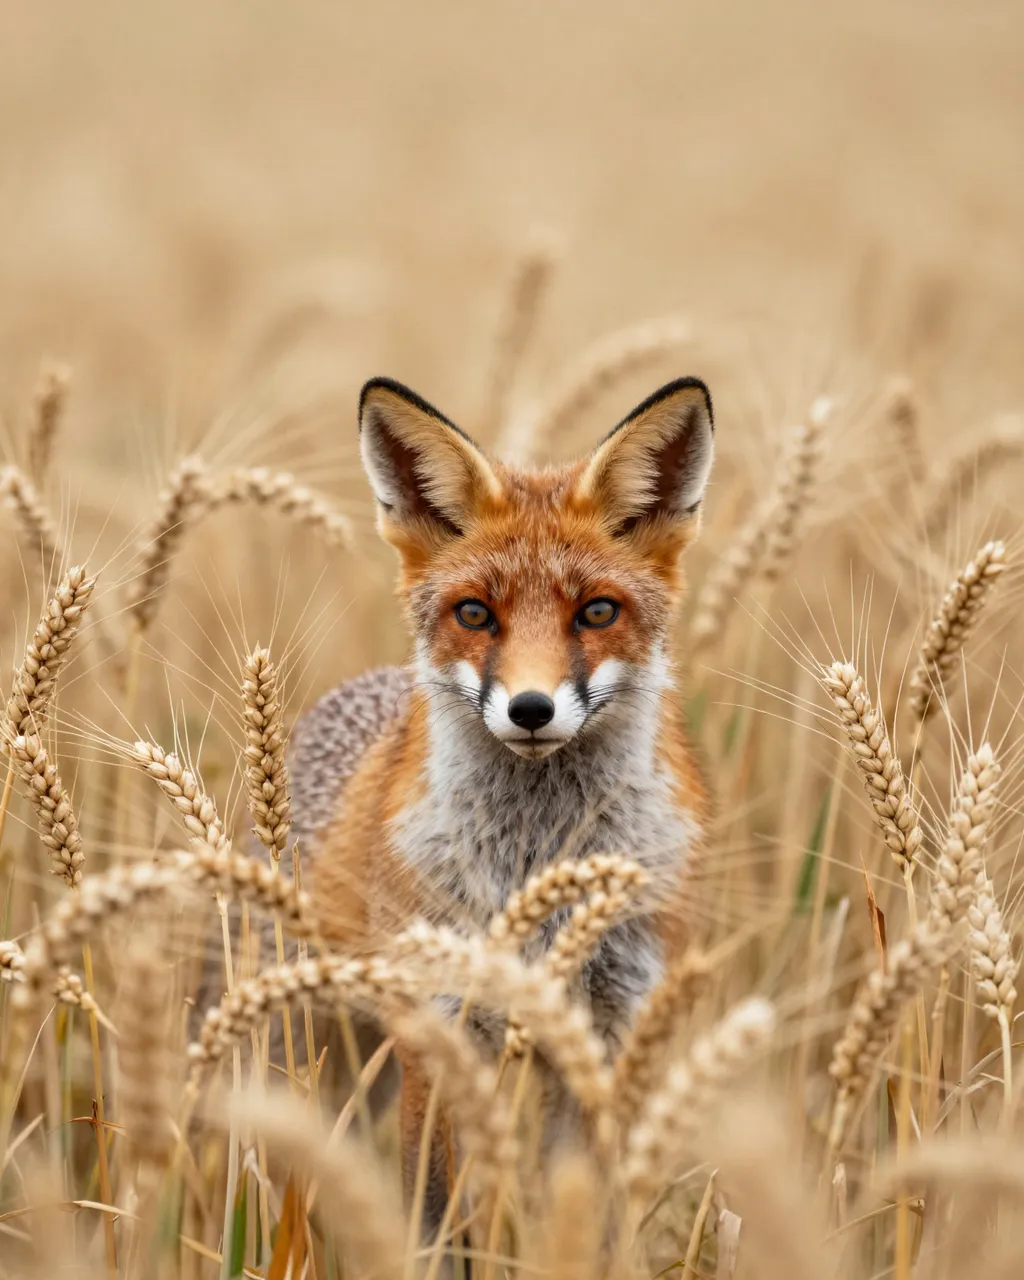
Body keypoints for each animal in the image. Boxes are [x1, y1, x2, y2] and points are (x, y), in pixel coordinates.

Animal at [287, 372, 715, 1235]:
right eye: (476, 614)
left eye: (597, 612)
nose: (530, 708)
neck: (534, 864)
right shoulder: (440, 1033)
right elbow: (436, 1227)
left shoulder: (612, 1036)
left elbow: (588, 1221)